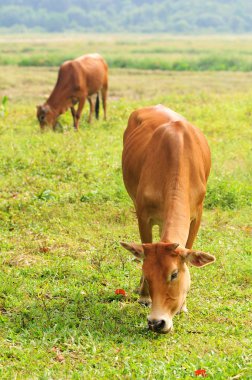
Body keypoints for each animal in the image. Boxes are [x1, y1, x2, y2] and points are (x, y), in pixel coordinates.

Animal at [120, 104, 215, 332]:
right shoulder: (143, 214)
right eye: (146, 273)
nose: (156, 322)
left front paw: (184, 306)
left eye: (174, 274)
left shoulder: (197, 215)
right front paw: (144, 296)